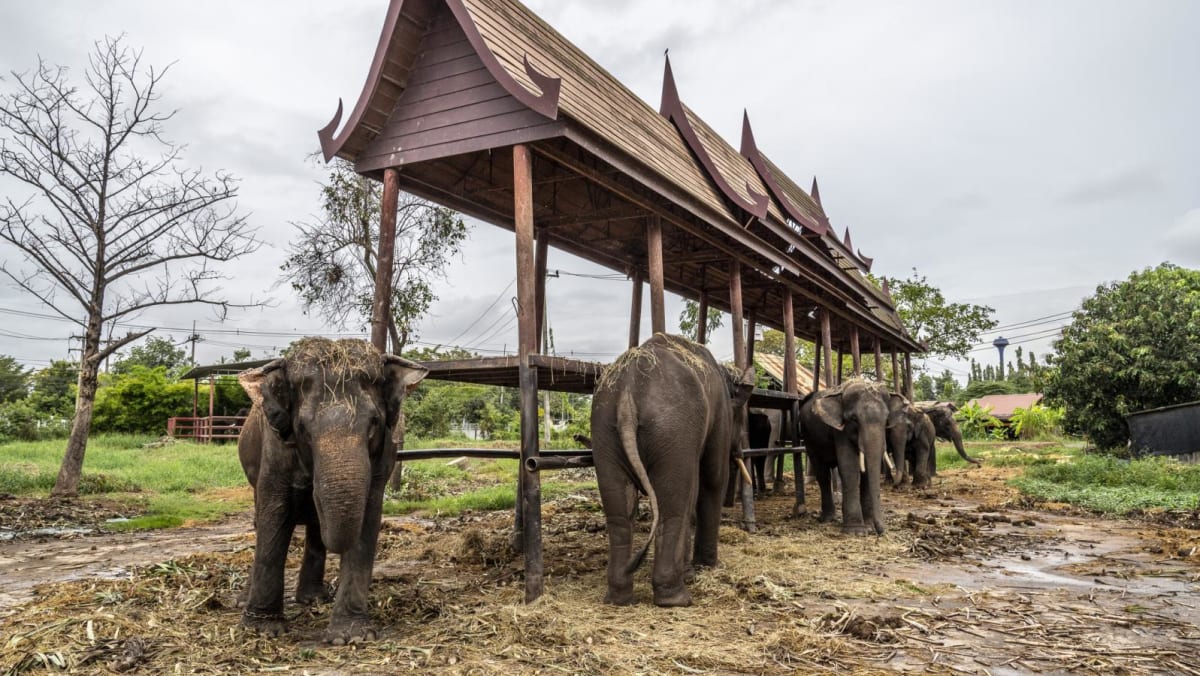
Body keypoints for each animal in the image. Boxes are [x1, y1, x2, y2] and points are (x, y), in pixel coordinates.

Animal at [236, 338, 428, 644]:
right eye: (303, 428)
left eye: (374, 423)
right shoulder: (275, 448)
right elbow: (274, 514)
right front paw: (261, 631)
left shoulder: (383, 456)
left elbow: (367, 517)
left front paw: (351, 637)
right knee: (260, 519)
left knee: (316, 529)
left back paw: (313, 599)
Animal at [590, 333, 754, 607]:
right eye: (742, 417)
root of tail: (627, 393)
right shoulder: (718, 414)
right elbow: (711, 479)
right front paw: (706, 568)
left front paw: (691, 572)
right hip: (672, 428)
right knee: (672, 507)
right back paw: (676, 598)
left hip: (604, 430)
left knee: (619, 512)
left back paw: (618, 597)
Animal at [798, 379, 906, 535]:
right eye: (854, 419)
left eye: (886, 420)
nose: (880, 531)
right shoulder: (840, 431)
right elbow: (850, 467)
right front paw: (856, 531)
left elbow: (866, 471)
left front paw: (869, 526)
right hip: (809, 438)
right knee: (822, 473)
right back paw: (826, 519)